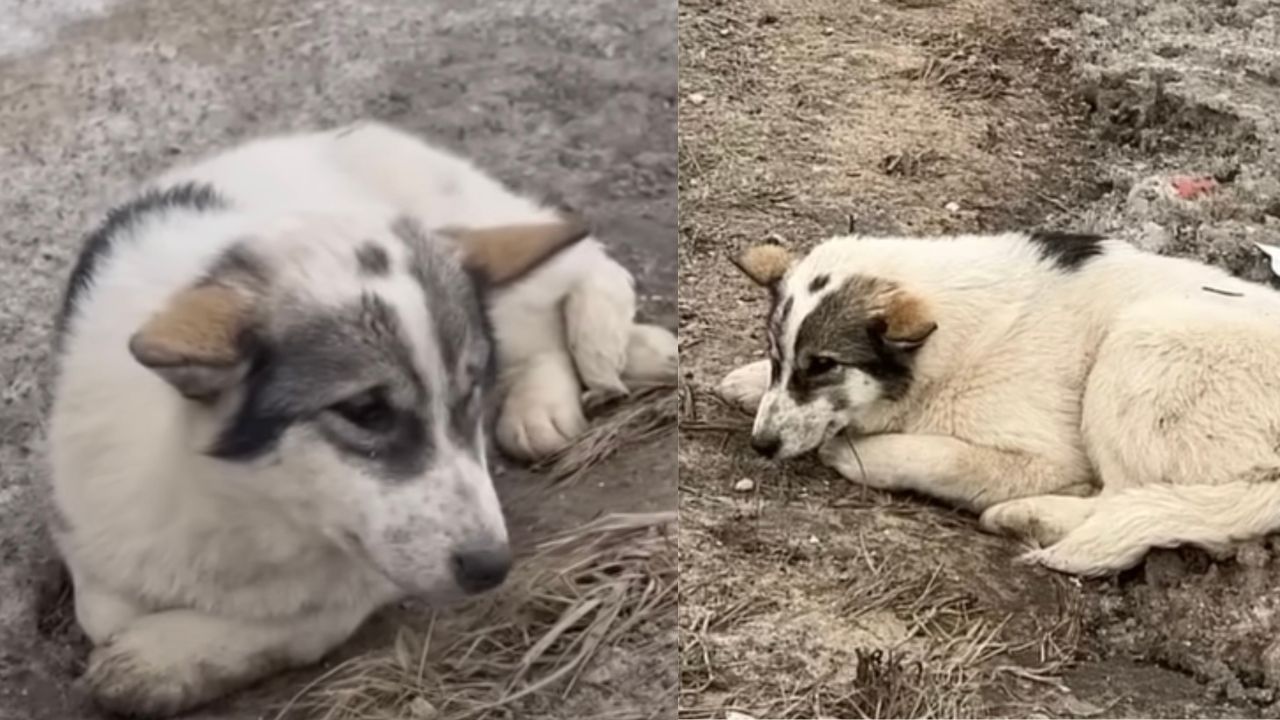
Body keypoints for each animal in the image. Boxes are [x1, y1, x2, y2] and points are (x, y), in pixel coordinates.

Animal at [45, 119, 675, 712]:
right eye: (365, 411)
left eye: (469, 393)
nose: (493, 567)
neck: (251, 506)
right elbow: (103, 611)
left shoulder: (366, 568)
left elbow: (311, 615)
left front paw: (166, 656)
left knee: (575, 283)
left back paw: (577, 382)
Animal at [721, 229, 1280, 576]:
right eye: (778, 357)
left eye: (824, 365)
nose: (761, 445)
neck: (946, 341)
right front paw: (747, 381)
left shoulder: (1044, 455)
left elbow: (945, 458)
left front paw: (857, 452)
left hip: (1139, 344)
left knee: (1120, 496)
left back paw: (1029, 515)